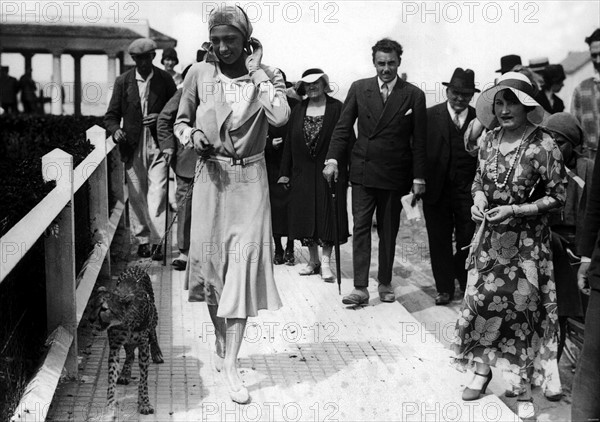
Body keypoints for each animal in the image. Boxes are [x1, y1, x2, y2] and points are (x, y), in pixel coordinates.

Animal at [89, 268, 163, 416]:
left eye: (104, 309)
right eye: (92, 305)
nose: (90, 319)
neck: (125, 321)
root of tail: (136, 267)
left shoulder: (143, 347)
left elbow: (143, 380)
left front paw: (144, 403)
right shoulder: (115, 347)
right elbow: (111, 377)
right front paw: (110, 404)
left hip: (153, 316)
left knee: (153, 333)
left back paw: (157, 352)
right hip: (127, 343)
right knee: (130, 354)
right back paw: (125, 373)